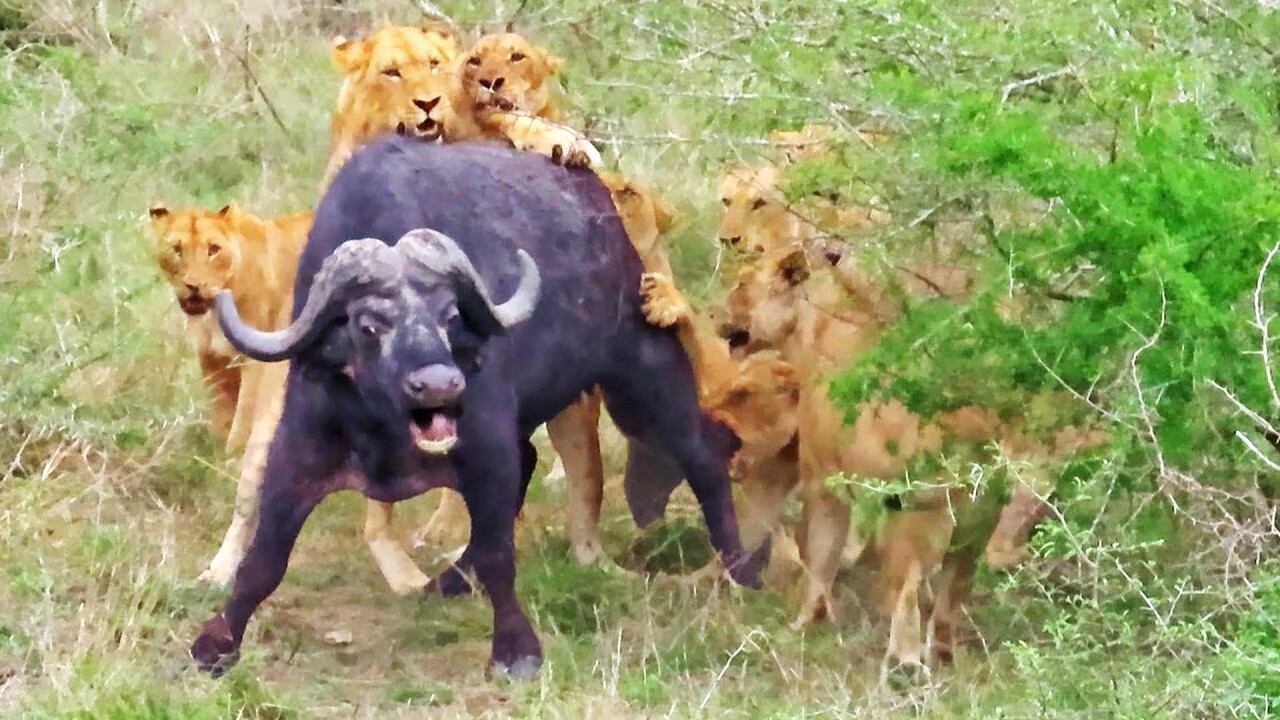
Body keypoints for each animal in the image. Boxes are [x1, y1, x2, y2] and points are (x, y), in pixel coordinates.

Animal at [188, 136, 763, 681]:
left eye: (449, 316)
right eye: (368, 325)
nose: (439, 384)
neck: (386, 434)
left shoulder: (487, 448)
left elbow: (497, 553)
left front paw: (516, 651)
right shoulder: (296, 453)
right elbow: (263, 561)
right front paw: (215, 644)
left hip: (643, 366)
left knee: (702, 452)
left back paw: (742, 569)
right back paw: (448, 580)